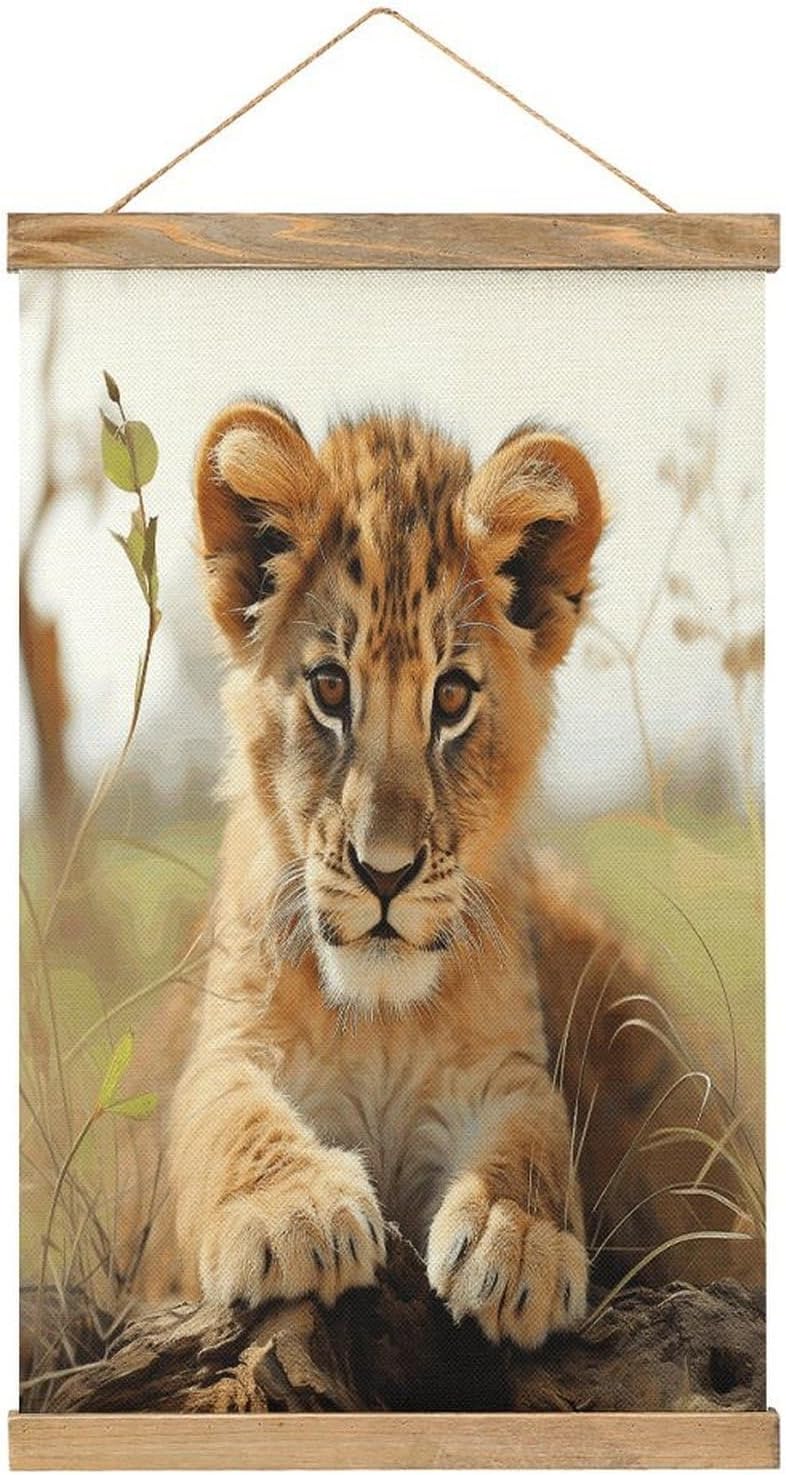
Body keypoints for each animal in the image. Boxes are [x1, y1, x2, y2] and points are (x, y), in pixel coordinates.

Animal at [150, 401, 760, 1350]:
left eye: (451, 698)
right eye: (330, 687)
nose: (385, 873)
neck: (381, 1021)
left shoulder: (506, 1067)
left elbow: (535, 1138)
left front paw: (518, 1242)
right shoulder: (225, 1048)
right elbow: (227, 1115)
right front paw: (294, 1211)